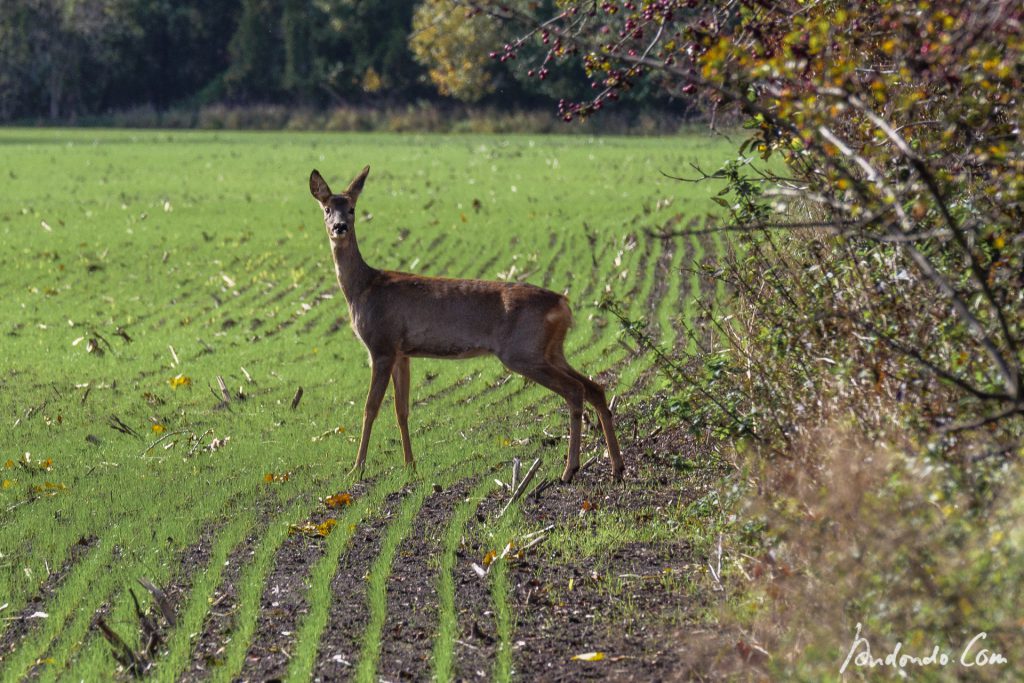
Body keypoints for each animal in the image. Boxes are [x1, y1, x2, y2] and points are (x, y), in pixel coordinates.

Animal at [307, 165, 622, 483]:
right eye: (327, 208)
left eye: (352, 208)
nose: (339, 227)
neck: (362, 288)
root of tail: (563, 304)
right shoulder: (402, 352)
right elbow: (401, 409)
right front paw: (410, 466)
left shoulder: (381, 345)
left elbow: (370, 408)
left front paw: (355, 469)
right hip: (551, 349)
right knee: (595, 387)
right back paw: (616, 468)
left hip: (522, 351)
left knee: (575, 390)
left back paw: (570, 469)